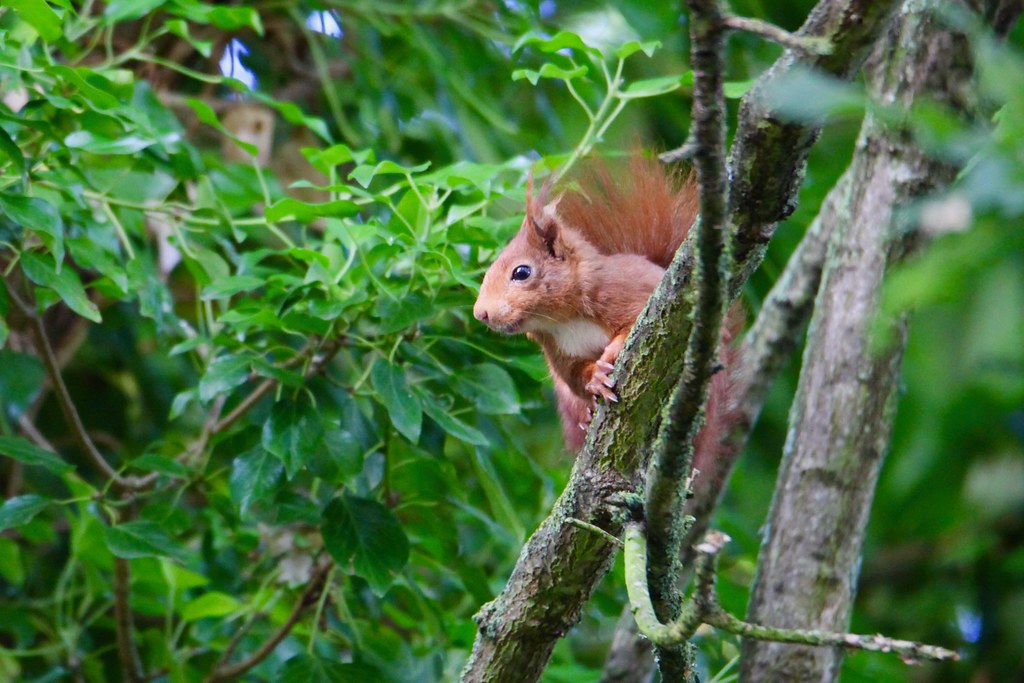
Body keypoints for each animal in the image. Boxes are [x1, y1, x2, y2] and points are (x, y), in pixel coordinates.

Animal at [473, 155, 739, 452]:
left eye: (521, 272)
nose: (480, 313)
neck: (565, 319)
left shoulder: (626, 295)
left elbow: (632, 328)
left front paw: (610, 355)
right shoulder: (558, 351)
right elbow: (575, 376)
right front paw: (595, 377)